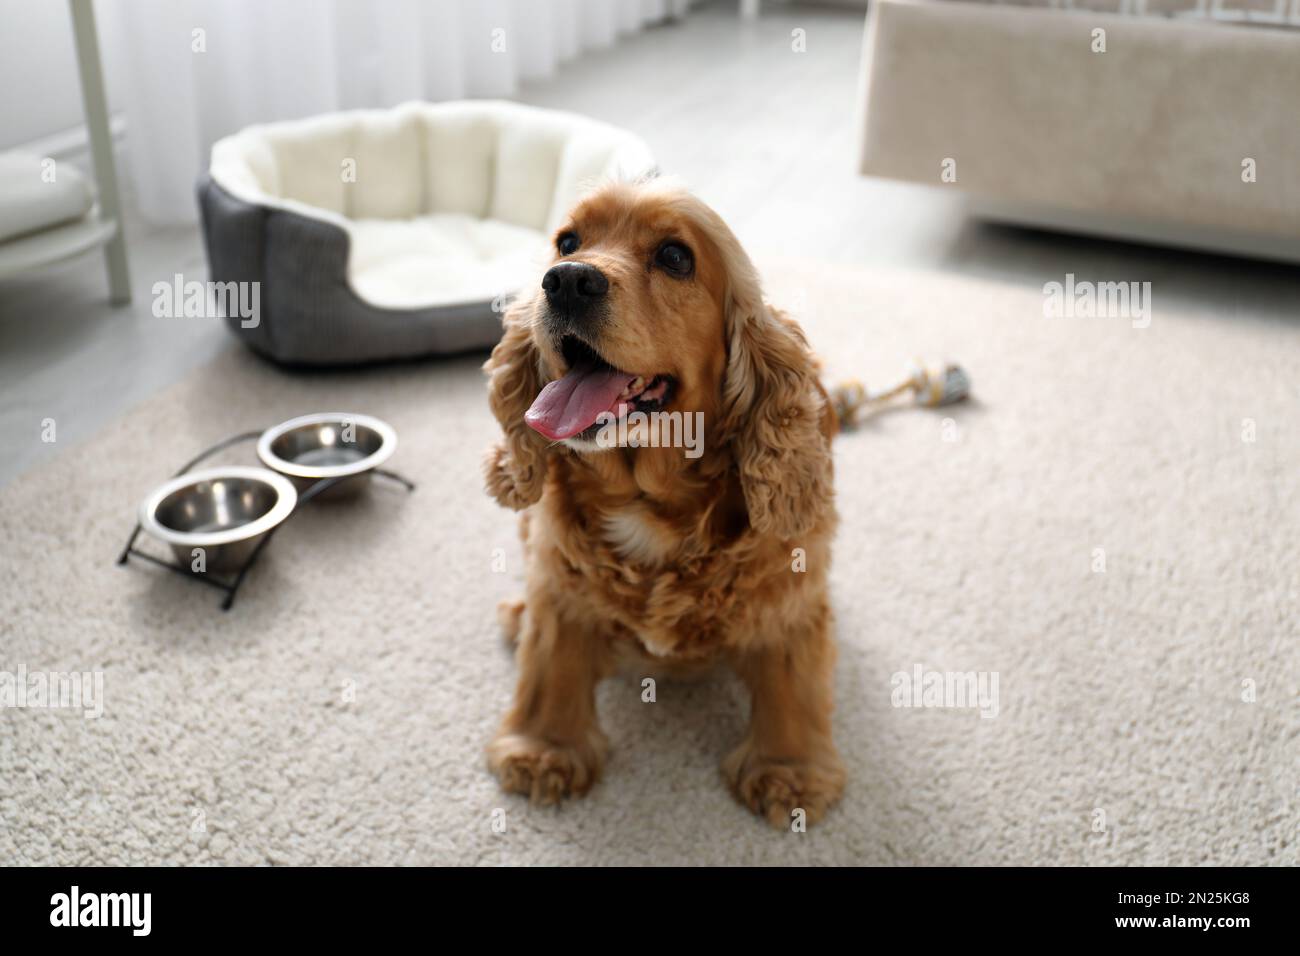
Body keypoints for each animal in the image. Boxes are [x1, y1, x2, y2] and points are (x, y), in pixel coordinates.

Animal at [480, 179, 842, 832]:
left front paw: (789, 772)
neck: (646, 499)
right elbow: (552, 659)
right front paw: (544, 750)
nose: (566, 280)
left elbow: (792, 682)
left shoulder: (788, 595)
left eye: (676, 257)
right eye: (566, 242)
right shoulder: (559, 579)